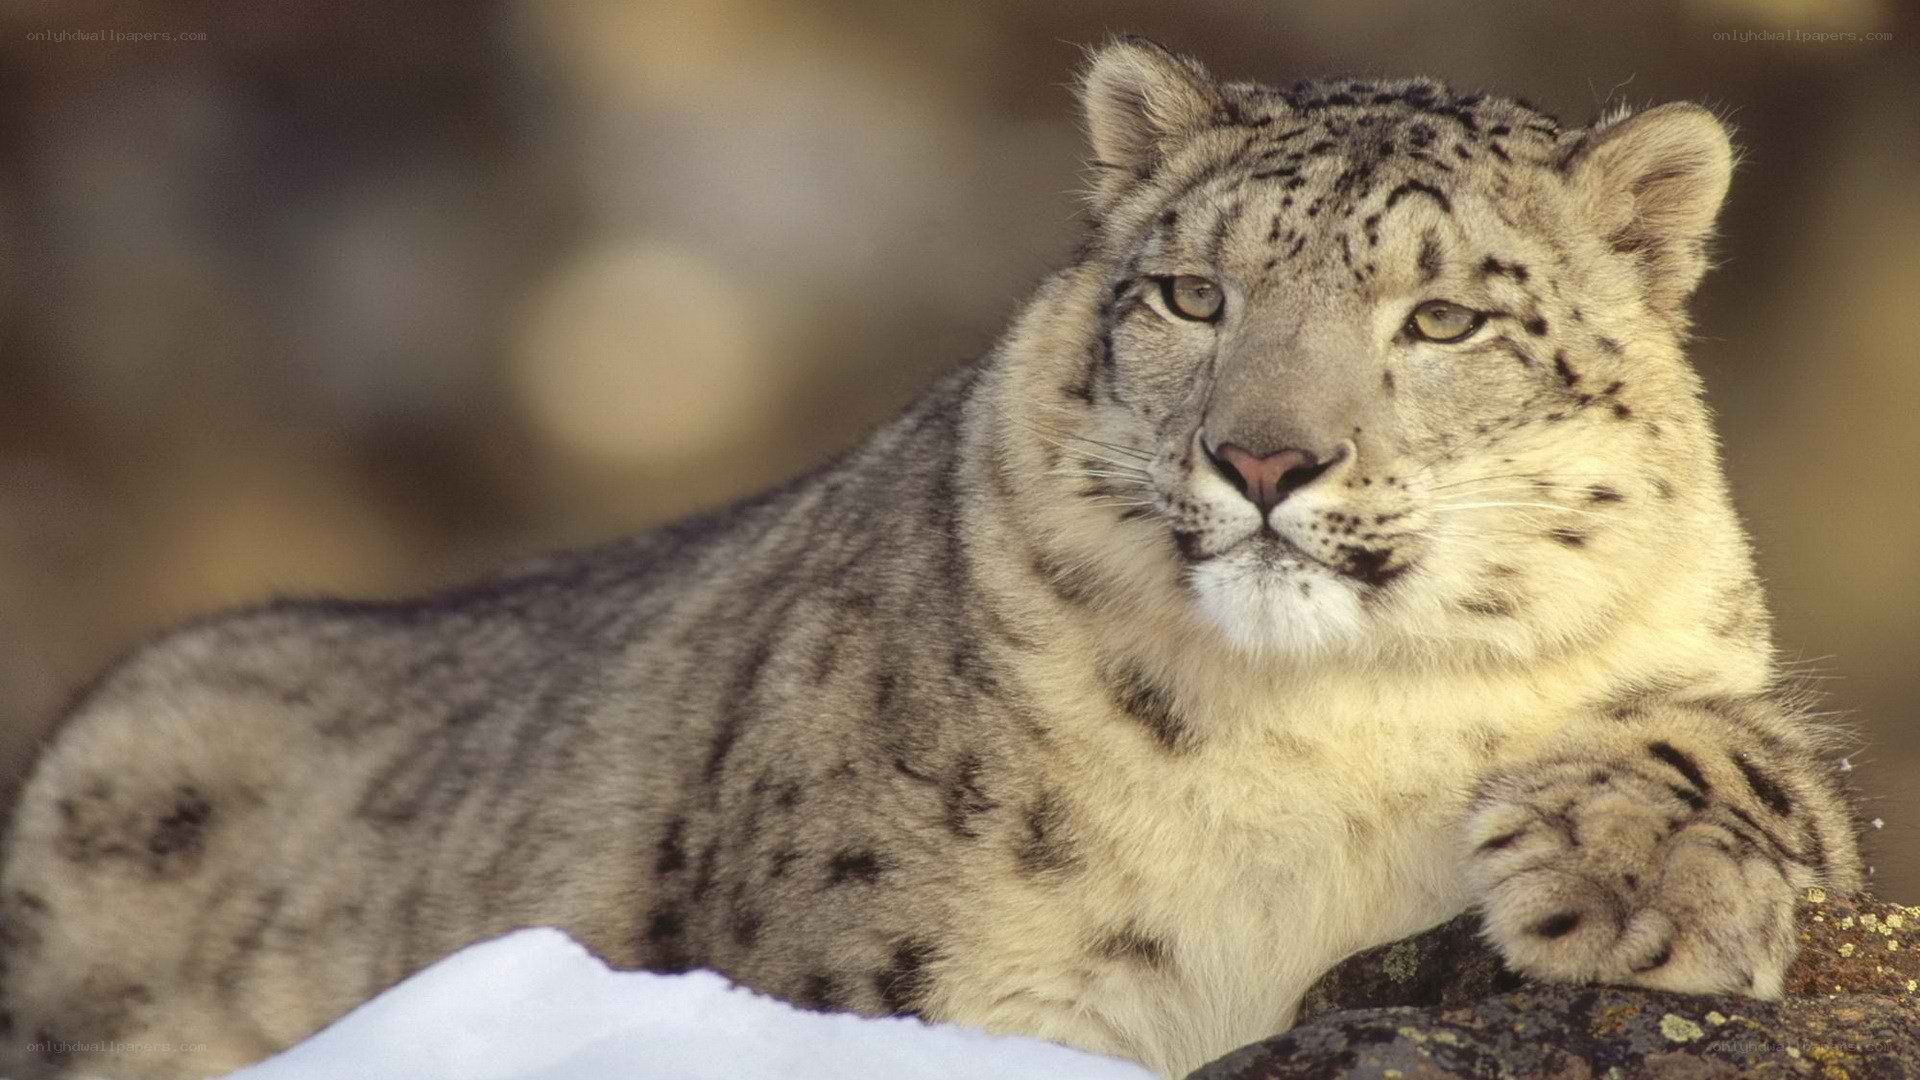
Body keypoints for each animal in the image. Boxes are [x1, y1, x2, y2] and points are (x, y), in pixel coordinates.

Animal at [0, 38, 1864, 1080]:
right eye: (1193, 293)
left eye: (1447, 318)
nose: (1265, 459)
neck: (1323, 741)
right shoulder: (924, 979)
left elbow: (1758, 754)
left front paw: (1628, 890)